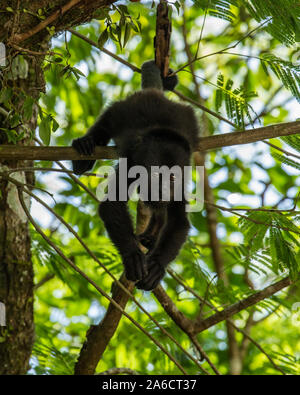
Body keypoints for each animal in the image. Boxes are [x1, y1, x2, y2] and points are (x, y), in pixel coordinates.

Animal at [71, 62, 199, 290]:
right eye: (155, 174)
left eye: (172, 178)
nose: (161, 190)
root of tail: (156, 94)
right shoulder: (133, 163)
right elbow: (112, 204)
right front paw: (132, 256)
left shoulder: (183, 178)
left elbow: (179, 221)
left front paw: (157, 265)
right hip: (125, 107)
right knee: (107, 121)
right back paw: (86, 144)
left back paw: (152, 234)